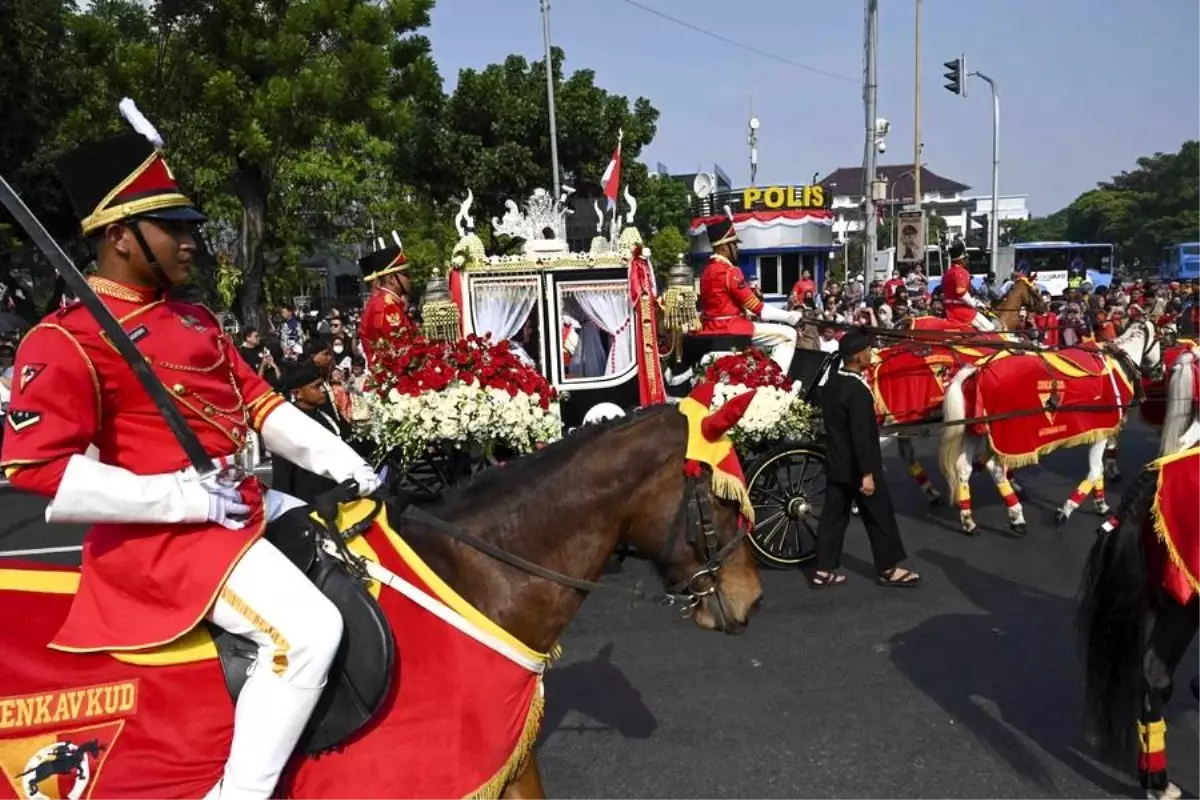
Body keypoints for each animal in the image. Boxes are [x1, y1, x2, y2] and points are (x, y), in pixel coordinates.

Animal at [936, 316, 1161, 534]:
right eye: (1162, 339)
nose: (1160, 371)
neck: (1119, 363)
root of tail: (978, 369)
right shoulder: (1102, 433)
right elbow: (1095, 471)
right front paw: (1066, 509)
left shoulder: (1100, 432)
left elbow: (1099, 471)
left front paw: (1100, 503)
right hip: (1009, 439)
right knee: (997, 470)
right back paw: (1016, 516)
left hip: (973, 431)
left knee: (963, 468)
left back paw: (968, 520)